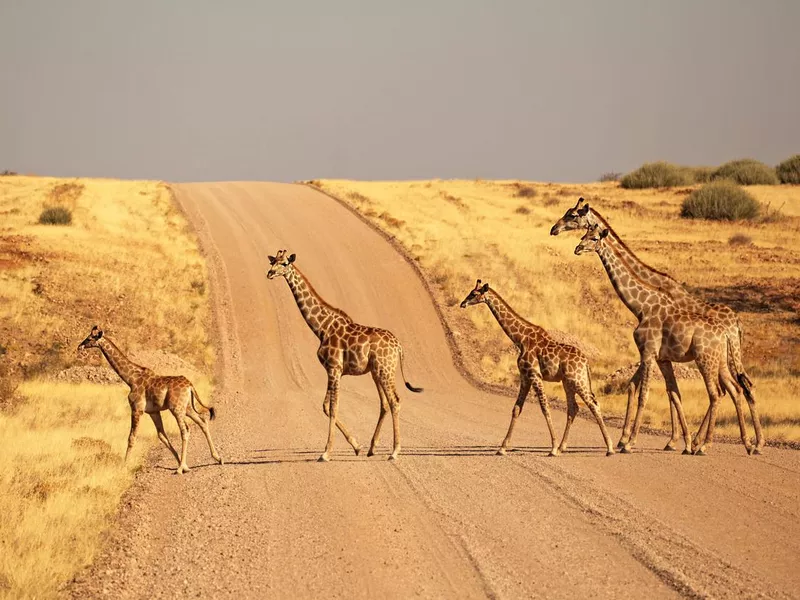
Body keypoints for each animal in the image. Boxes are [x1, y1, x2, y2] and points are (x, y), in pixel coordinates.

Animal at [266, 247, 422, 460]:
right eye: (272, 261)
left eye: (284, 263)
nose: (269, 273)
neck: (321, 328)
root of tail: (398, 346)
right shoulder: (333, 371)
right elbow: (326, 406)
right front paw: (357, 446)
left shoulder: (334, 368)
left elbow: (333, 407)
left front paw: (325, 453)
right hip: (376, 372)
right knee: (384, 404)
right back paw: (372, 448)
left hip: (385, 370)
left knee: (395, 401)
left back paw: (395, 451)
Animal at [460, 278, 616, 458]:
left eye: (474, 293)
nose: (462, 303)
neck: (520, 339)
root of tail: (586, 362)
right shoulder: (525, 376)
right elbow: (516, 409)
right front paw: (502, 448)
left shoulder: (535, 375)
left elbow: (544, 407)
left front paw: (552, 448)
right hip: (568, 382)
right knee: (573, 408)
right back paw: (563, 447)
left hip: (577, 380)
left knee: (593, 405)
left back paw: (609, 448)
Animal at [552, 197, 764, 454]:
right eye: (582, 232)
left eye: (573, 215)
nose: (554, 229)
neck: (644, 304)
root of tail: (735, 323)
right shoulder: (660, 356)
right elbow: (661, 391)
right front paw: (670, 440)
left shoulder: (650, 352)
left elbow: (648, 393)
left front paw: (635, 442)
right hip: (723, 359)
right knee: (738, 388)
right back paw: (745, 443)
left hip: (715, 359)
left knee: (728, 391)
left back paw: (722, 443)